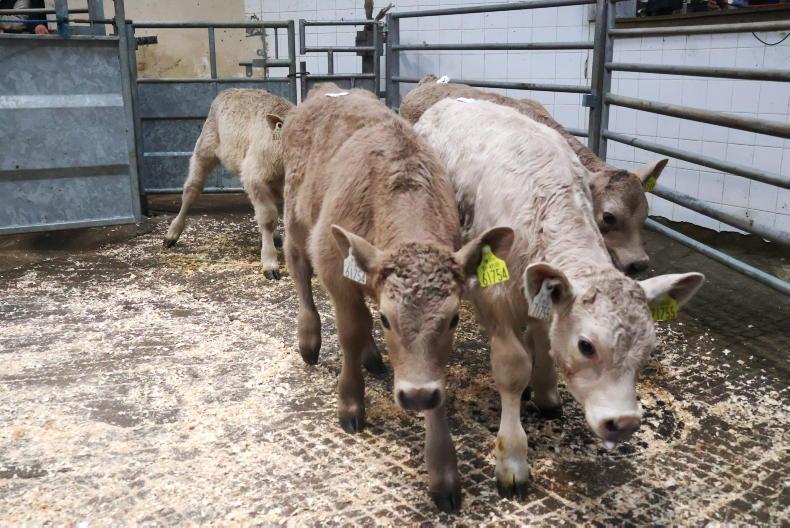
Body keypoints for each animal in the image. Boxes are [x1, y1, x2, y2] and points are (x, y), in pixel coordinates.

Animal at [163, 88, 294, 280]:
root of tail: (229, 90)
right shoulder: (254, 176)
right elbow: (268, 218)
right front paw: (270, 263)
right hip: (204, 150)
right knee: (191, 191)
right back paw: (172, 234)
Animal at [281, 83, 514, 512]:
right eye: (389, 319)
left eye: (454, 319)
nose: (416, 395)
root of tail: (329, 91)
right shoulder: (335, 266)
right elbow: (352, 329)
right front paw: (350, 402)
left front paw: (442, 469)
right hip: (295, 218)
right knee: (299, 270)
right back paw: (309, 338)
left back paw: (373, 356)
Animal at [414, 98, 704, 499]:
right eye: (587, 345)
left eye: (648, 349)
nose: (624, 421)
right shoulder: (494, 297)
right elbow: (512, 368)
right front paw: (512, 460)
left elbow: (542, 336)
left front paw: (547, 392)